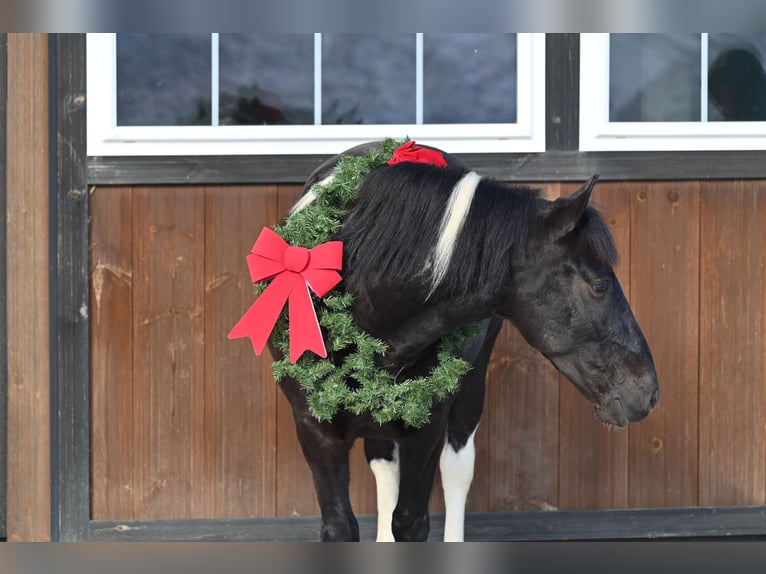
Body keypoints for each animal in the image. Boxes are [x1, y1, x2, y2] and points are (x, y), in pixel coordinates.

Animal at [268, 142, 656, 544]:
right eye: (600, 285)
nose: (648, 391)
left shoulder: (426, 427)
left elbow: (410, 521)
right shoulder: (314, 429)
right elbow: (341, 526)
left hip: (470, 387)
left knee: (456, 468)